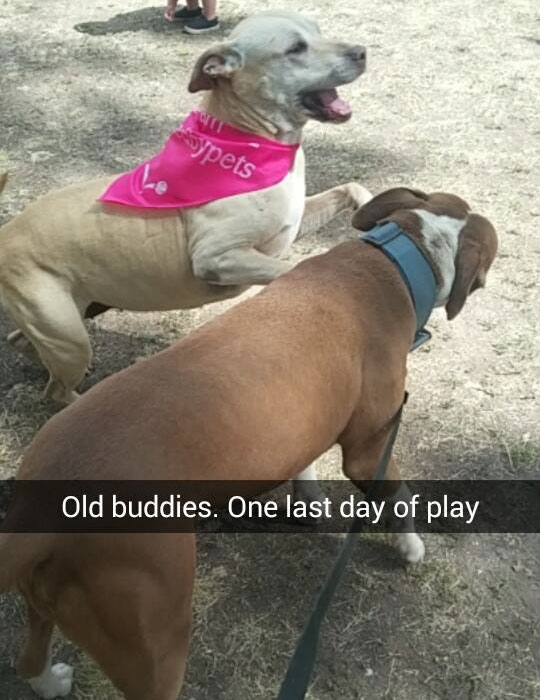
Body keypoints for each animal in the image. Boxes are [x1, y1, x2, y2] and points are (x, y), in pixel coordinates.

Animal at [1, 186, 498, 700]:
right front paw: (410, 547)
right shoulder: (369, 448)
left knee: (28, 657)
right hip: (156, 636)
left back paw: (49, 682)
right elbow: (398, 495)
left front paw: (310, 500)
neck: (392, 258)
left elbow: (304, 462)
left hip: (46, 598)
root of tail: (41, 514)